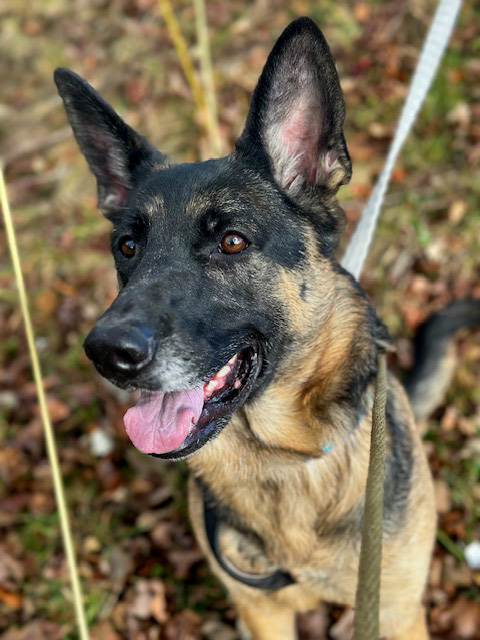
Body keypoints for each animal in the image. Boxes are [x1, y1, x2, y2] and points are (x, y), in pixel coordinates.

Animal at [54, 17, 480, 640]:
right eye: (127, 247)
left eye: (231, 241)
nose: (107, 352)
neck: (284, 456)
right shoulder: (261, 612)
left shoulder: (397, 611)